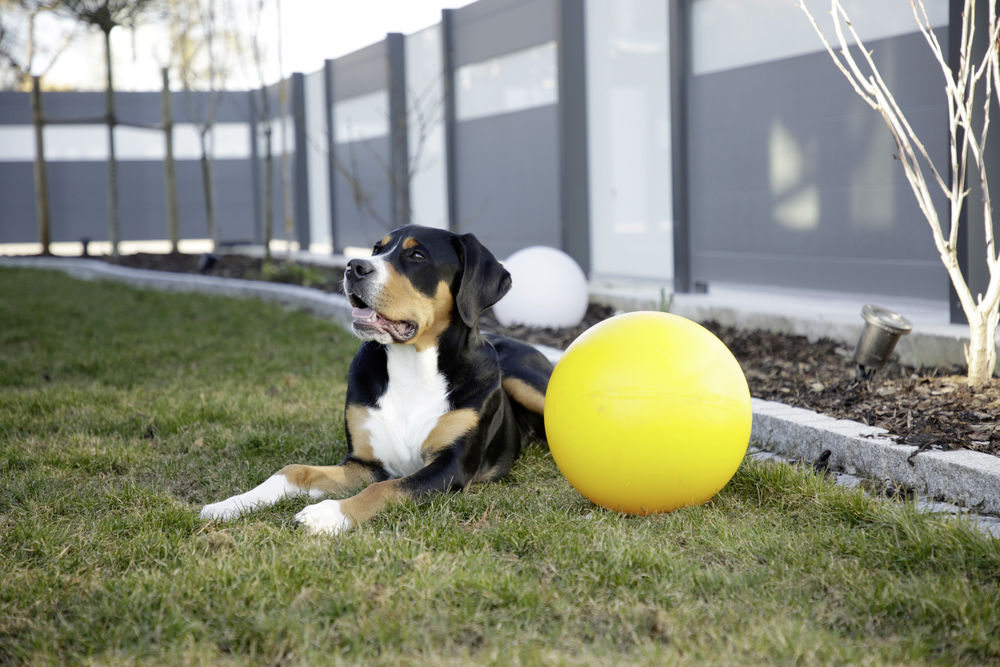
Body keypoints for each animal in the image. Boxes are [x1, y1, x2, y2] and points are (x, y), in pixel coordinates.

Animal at [201, 227, 556, 536]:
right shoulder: (364, 463)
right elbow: (294, 470)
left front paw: (327, 514)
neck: (412, 367)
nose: (354, 266)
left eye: (417, 254)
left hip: (525, 381)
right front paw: (229, 505)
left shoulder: (450, 467)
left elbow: (384, 489)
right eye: (376, 249)